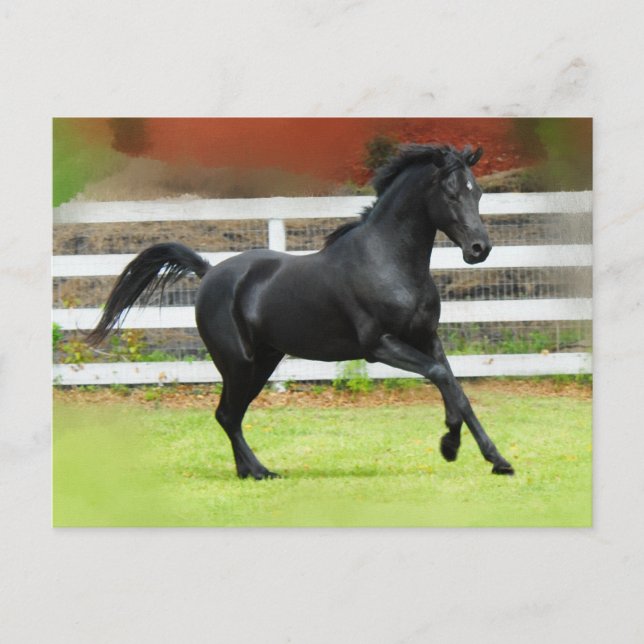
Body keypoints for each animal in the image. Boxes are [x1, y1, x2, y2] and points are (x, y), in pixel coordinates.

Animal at [87, 143, 514, 479]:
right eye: (451, 193)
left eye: (478, 193)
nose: (480, 249)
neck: (388, 261)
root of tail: (209, 272)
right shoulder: (379, 346)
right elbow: (441, 377)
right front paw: (450, 446)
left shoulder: (427, 338)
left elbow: (455, 388)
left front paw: (496, 459)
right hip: (238, 362)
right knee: (226, 414)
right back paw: (260, 471)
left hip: (264, 362)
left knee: (231, 414)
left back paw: (248, 471)